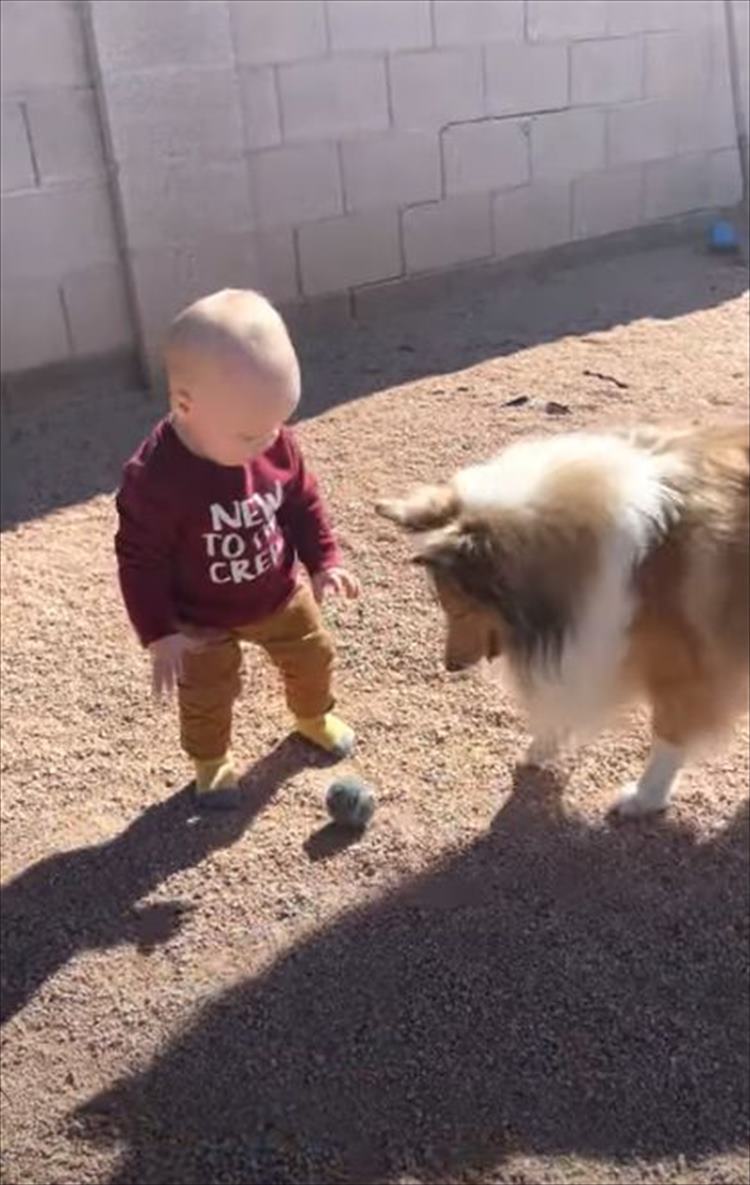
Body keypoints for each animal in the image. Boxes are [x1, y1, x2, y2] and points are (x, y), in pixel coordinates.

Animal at [376, 424, 744, 815]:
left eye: (460, 608)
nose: (451, 666)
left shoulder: (687, 672)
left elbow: (667, 737)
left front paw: (644, 797)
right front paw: (542, 747)